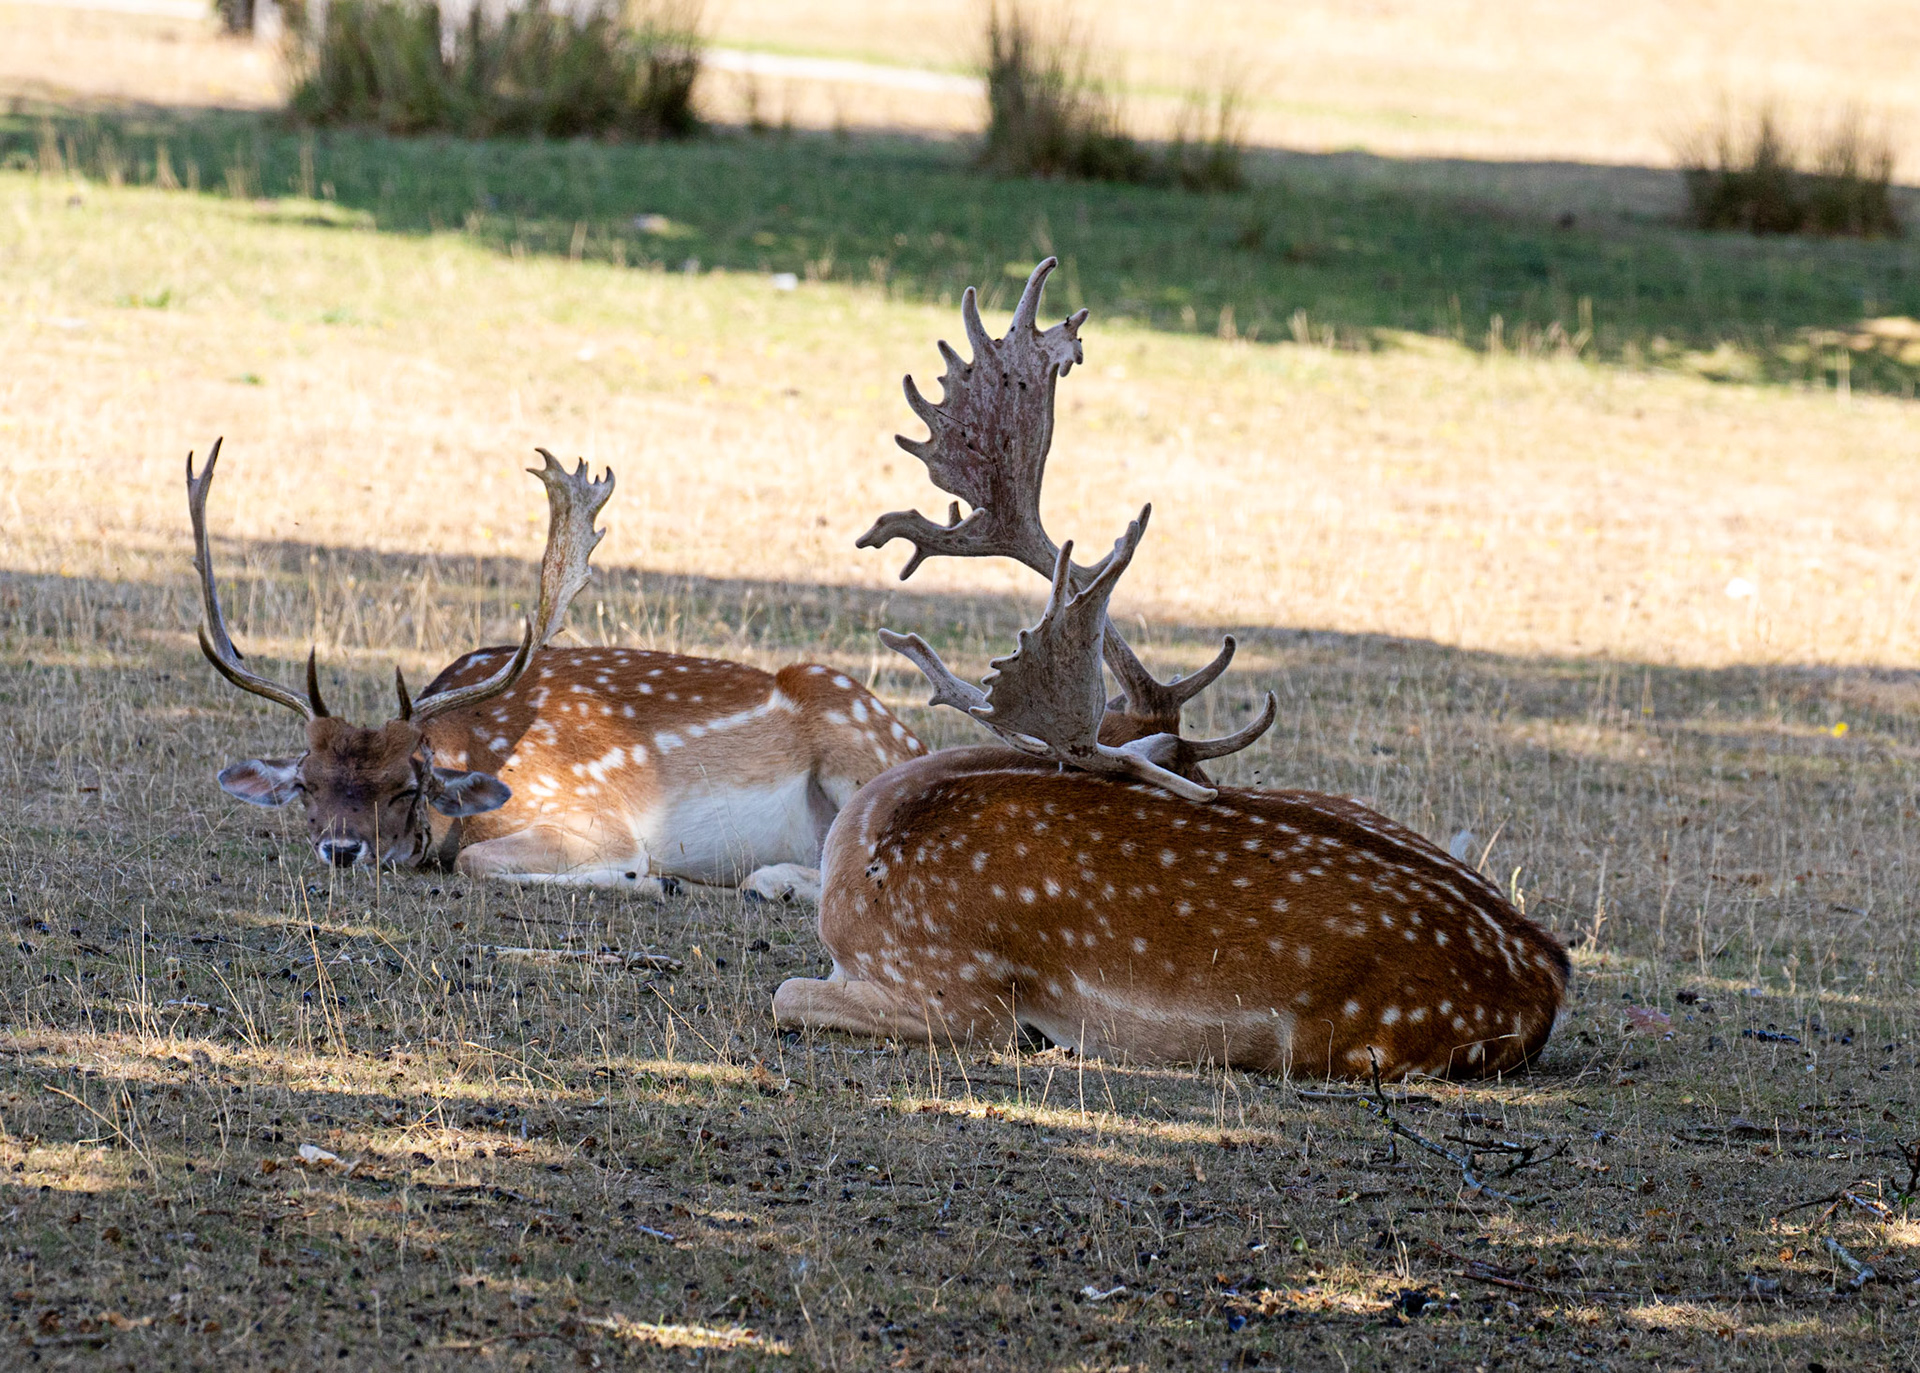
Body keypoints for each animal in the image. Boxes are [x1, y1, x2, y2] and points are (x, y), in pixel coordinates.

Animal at [192, 441, 925, 900]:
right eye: (307, 785)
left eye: (405, 786)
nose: (341, 849)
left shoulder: (591, 814)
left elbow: (481, 862)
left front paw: (652, 878)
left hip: (858, 747)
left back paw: (768, 882)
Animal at [773, 259, 1569, 1079]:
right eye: (1197, 778)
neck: (864, 854)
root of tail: (1550, 976)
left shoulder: (955, 990)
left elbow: (785, 994)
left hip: (1359, 1036)